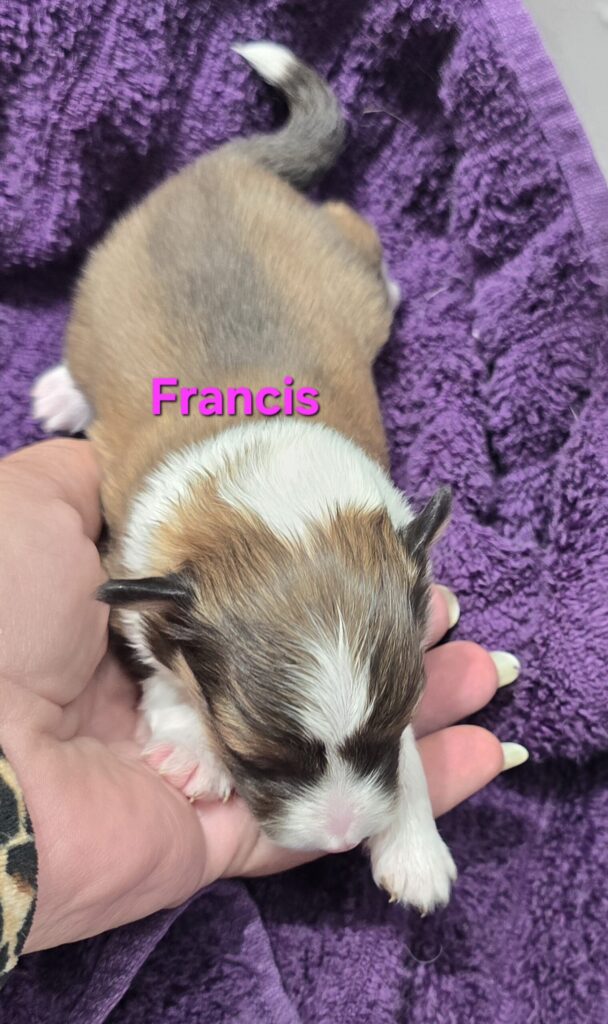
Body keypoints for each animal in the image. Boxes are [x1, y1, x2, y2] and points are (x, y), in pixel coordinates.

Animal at [32, 42, 456, 911]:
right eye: (254, 757)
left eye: (388, 730)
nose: (341, 837)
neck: (277, 511)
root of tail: (219, 164)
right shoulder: (134, 577)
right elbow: (163, 672)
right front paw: (190, 747)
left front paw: (415, 843)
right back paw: (63, 390)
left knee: (353, 231)